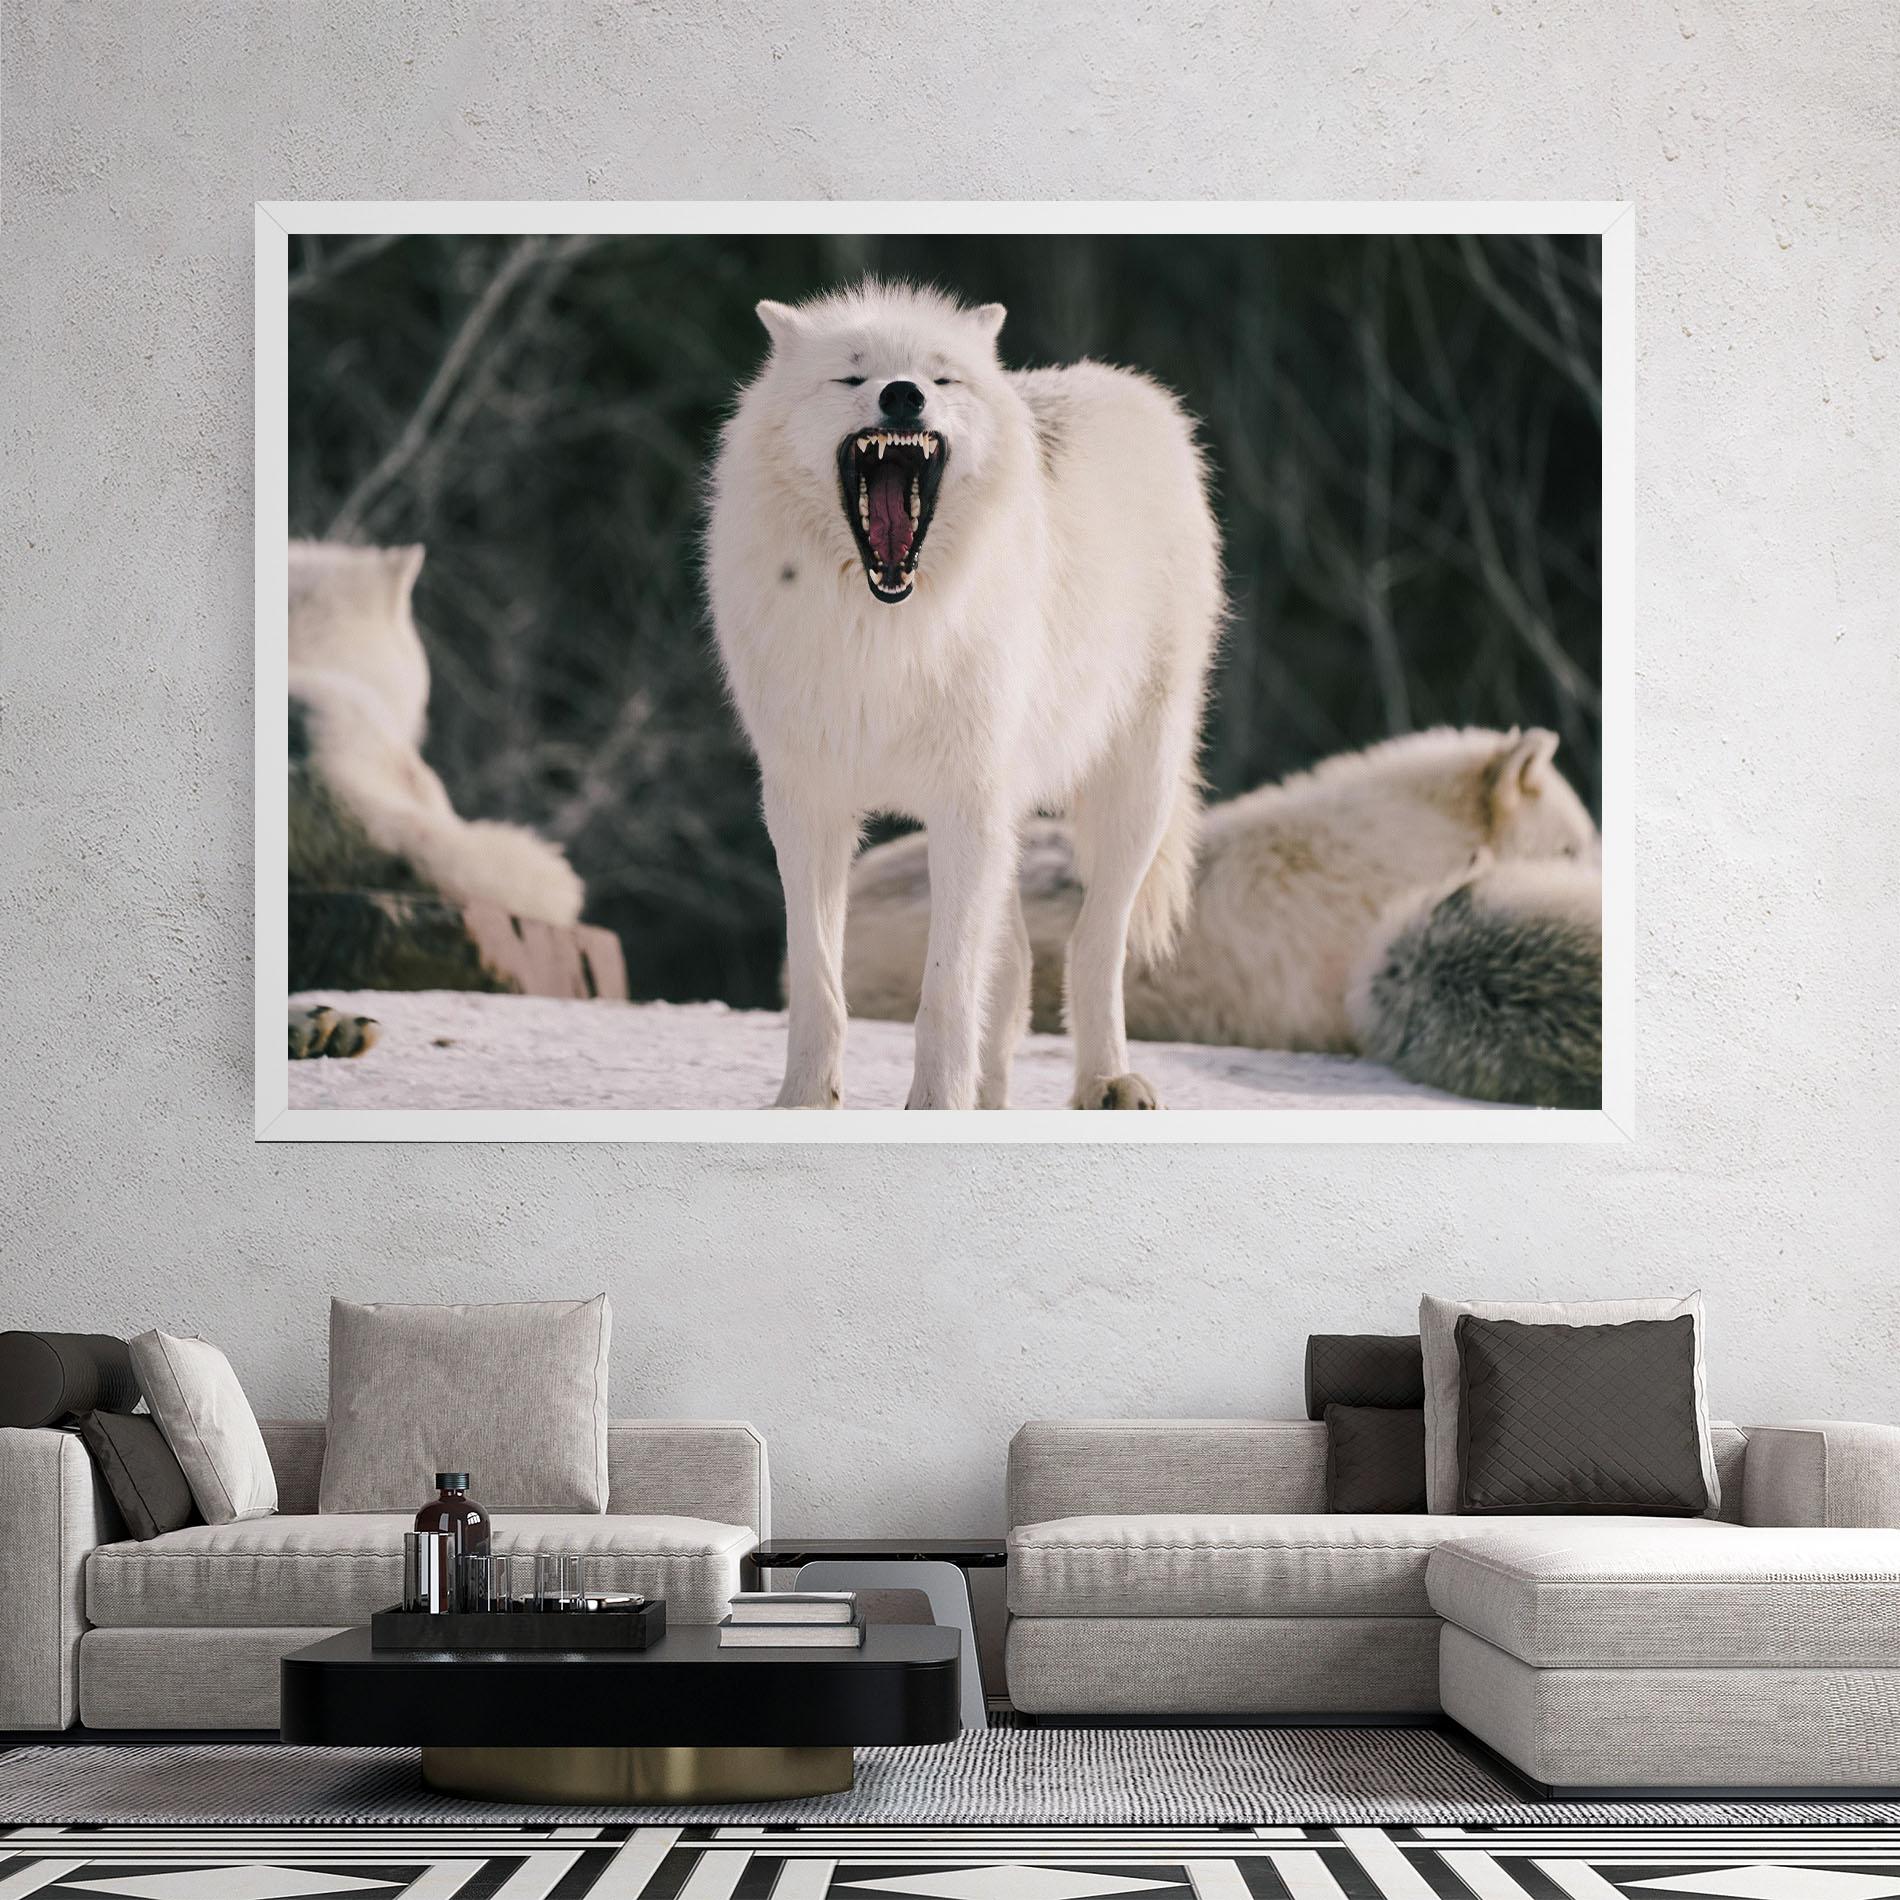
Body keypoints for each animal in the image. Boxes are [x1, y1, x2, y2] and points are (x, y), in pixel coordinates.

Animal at [707, 282, 1221, 1110]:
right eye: (853, 376)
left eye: (941, 378)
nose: (903, 395)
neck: (885, 632)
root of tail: (1129, 387)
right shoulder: (805, 805)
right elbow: (819, 982)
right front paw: (805, 1102)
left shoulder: (963, 805)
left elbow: (946, 992)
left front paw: (935, 1105)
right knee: (1013, 971)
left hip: (1133, 791)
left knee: (1093, 943)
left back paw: (1107, 1079)